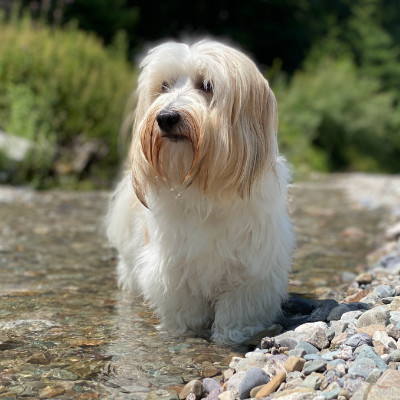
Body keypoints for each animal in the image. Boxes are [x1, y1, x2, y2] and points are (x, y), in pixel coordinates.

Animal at [105, 39, 294, 342]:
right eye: (164, 86)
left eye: (207, 85)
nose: (166, 117)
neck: (203, 186)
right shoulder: (172, 266)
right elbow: (185, 304)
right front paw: (186, 330)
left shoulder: (253, 267)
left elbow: (240, 306)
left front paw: (233, 334)